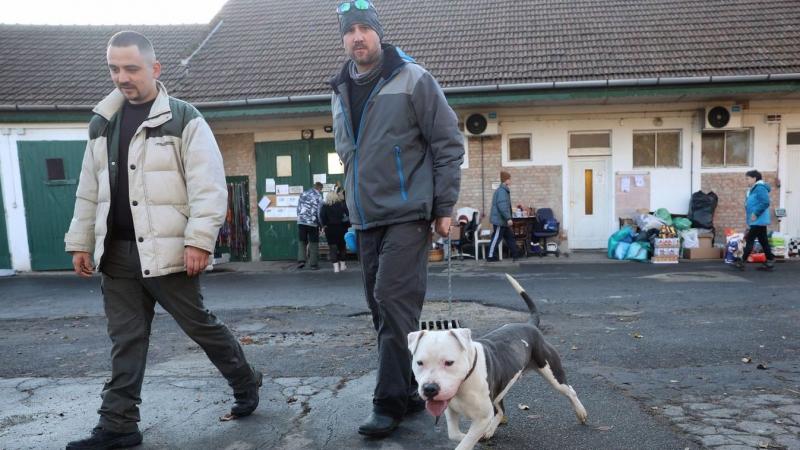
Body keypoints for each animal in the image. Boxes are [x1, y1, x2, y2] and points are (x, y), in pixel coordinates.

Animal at [406, 272, 588, 448]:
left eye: (449, 362)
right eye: (419, 363)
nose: (429, 389)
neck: (465, 381)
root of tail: (530, 325)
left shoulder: (482, 418)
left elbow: (466, 442)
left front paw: (471, 439)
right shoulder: (450, 410)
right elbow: (454, 434)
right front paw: (469, 435)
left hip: (550, 371)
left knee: (569, 390)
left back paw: (581, 412)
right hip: (501, 384)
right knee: (501, 411)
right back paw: (490, 430)